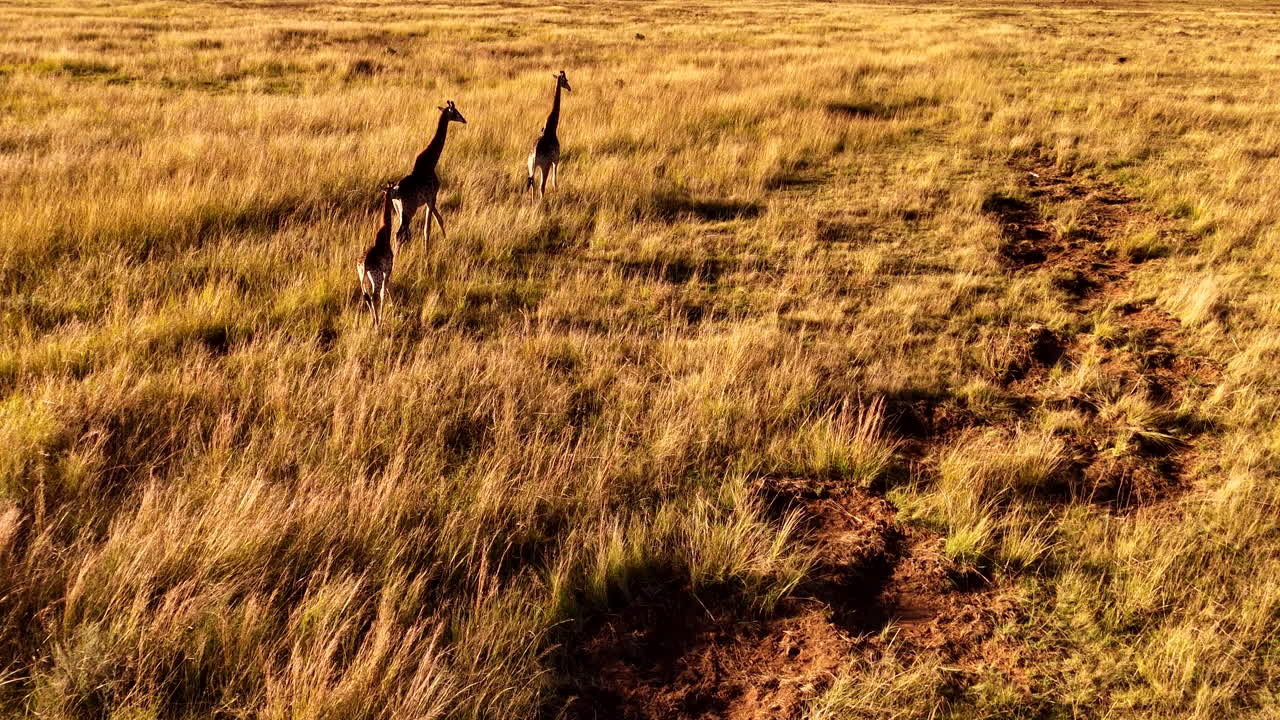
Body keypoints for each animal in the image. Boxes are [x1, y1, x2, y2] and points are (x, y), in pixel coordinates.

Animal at [356, 182, 397, 327]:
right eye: (394, 191)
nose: (398, 196)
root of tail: (363, 264)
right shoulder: (388, 269)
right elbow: (385, 291)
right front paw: (391, 308)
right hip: (376, 277)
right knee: (374, 296)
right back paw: (377, 323)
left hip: (362, 277)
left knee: (365, 296)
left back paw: (366, 322)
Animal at [392, 100, 466, 247]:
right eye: (456, 112)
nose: (464, 120)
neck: (431, 163)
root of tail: (395, 193)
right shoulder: (432, 197)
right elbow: (428, 229)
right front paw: (427, 251)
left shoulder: (429, 200)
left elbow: (440, 220)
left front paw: (445, 239)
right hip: (409, 210)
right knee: (399, 234)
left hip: (398, 210)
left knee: (403, 233)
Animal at [526, 70, 571, 199]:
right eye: (566, 80)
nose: (569, 88)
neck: (551, 128)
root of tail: (535, 155)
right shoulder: (556, 159)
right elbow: (554, 180)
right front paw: (556, 191)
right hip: (544, 166)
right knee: (542, 186)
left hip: (530, 166)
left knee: (533, 184)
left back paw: (533, 201)